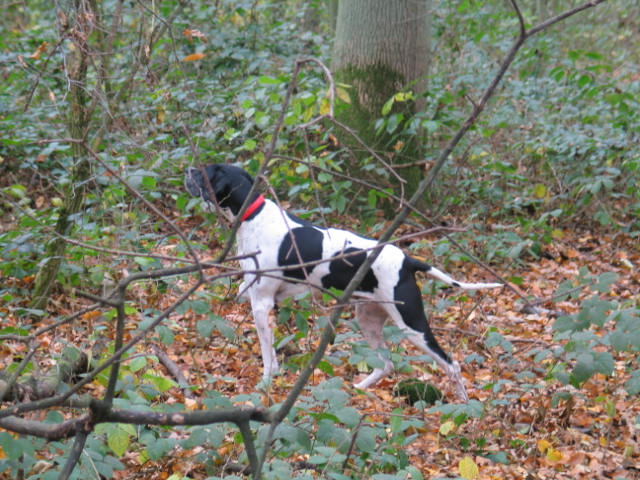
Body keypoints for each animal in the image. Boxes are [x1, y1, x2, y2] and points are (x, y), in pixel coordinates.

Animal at [182, 165, 502, 402]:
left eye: (206, 171)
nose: (188, 170)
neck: (254, 215)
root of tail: (408, 260)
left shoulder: (261, 303)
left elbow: (268, 356)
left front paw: (265, 385)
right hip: (368, 318)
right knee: (387, 363)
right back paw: (358, 389)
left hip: (413, 324)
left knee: (451, 364)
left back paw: (464, 406)